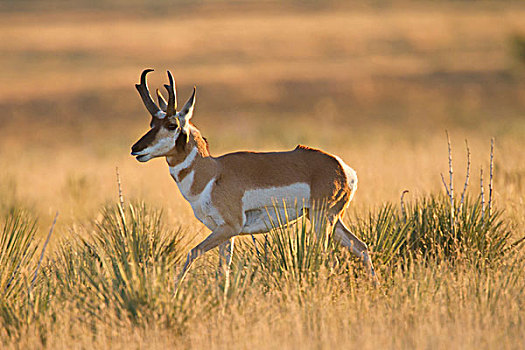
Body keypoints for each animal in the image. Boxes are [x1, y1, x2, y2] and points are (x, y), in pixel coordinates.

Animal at [131, 69, 376, 282]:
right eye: (152, 123)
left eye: (172, 124)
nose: (136, 149)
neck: (212, 173)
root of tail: (342, 167)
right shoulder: (224, 233)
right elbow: (223, 272)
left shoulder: (230, 227)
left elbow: (192, 253)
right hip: (327, 219)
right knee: (361, 247)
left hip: (321, 219)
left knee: (327, 257)